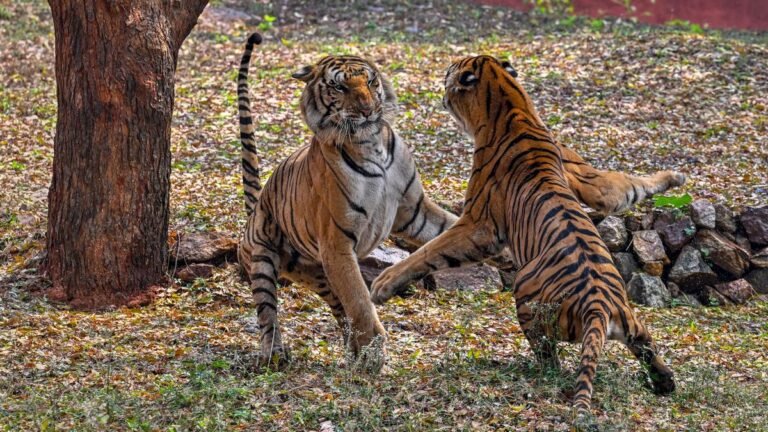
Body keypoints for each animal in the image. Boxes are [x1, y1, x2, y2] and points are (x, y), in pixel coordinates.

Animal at [370, 56, 676, 411]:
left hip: (526, 295)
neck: (513, 106)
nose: (444, 73)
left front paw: (382, 285)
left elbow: (430, 250)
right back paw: (665, 381)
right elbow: (624, 187)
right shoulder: (589, 181)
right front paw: (672, 178)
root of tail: (599, 307)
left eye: (452, 70)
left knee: (549, 360)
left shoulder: (479, 224)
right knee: (647, 347)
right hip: (633, 324)